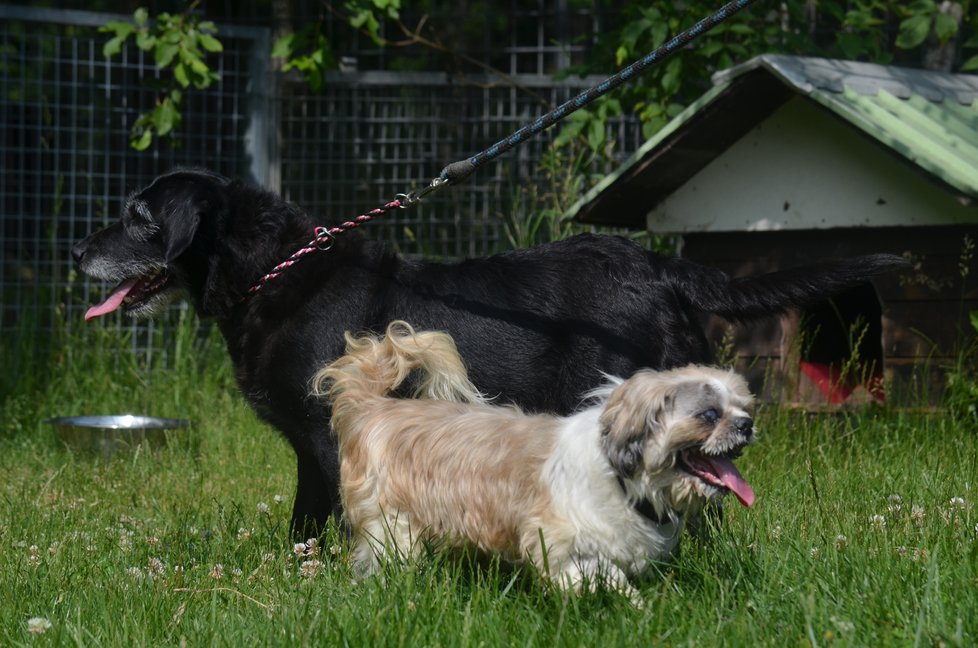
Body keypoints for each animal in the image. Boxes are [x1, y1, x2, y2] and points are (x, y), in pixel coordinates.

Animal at [72, 168, 904, 536]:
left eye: (138, 215)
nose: (77, 248)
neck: (275, 274)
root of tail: (655, 264)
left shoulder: (330, 437)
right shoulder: (313, 447)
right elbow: (306, 518)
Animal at [312, 318, 756, 596]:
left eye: (743, 404)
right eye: (709, 415)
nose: (746, 424)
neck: (621, 478)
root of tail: (373, 407)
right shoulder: (556, 540)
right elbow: (589, 574)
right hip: (391, 524)